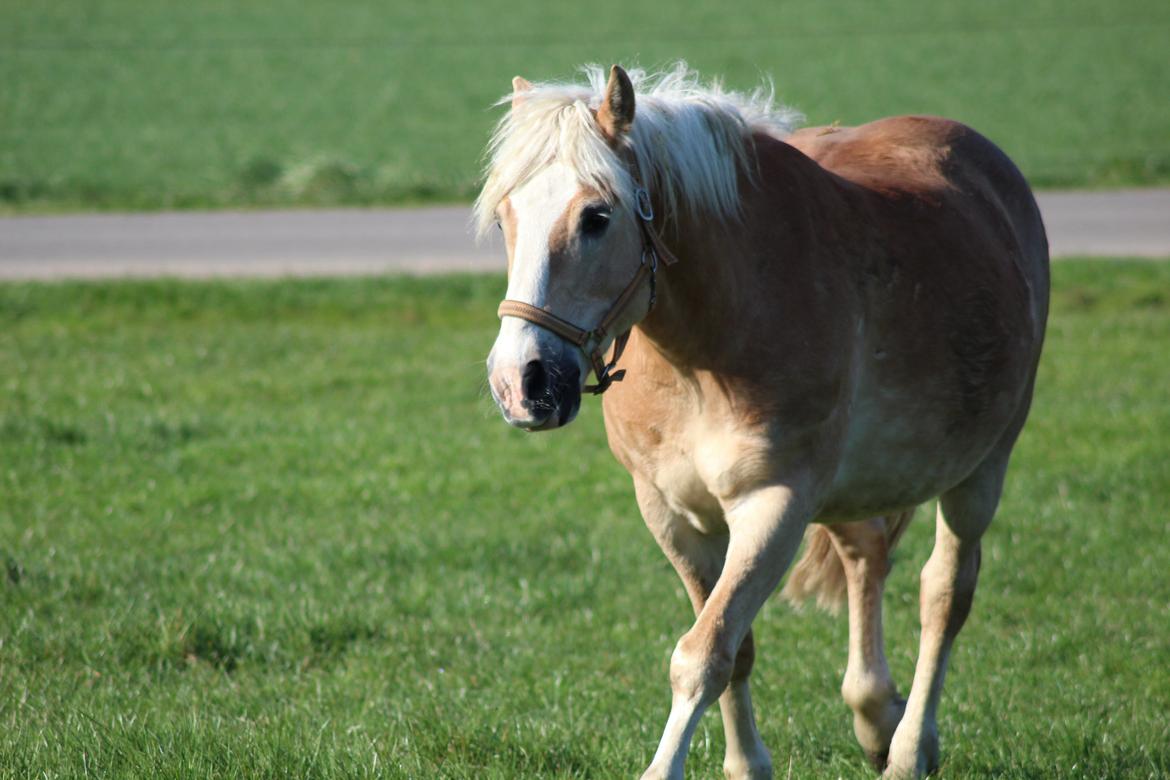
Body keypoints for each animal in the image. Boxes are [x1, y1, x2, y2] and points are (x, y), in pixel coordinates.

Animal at [479, 62, 1048, 780]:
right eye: (504, 218)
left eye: (596, 216)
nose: (521, 381)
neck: (709, 343)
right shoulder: (671, 513)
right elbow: (735, 648)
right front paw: (747, 763)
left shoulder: (773, 505)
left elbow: (702, 654)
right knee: (866, 554)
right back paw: (875, 714)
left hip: (982, 469)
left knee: (944, 594)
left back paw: (909, 747)